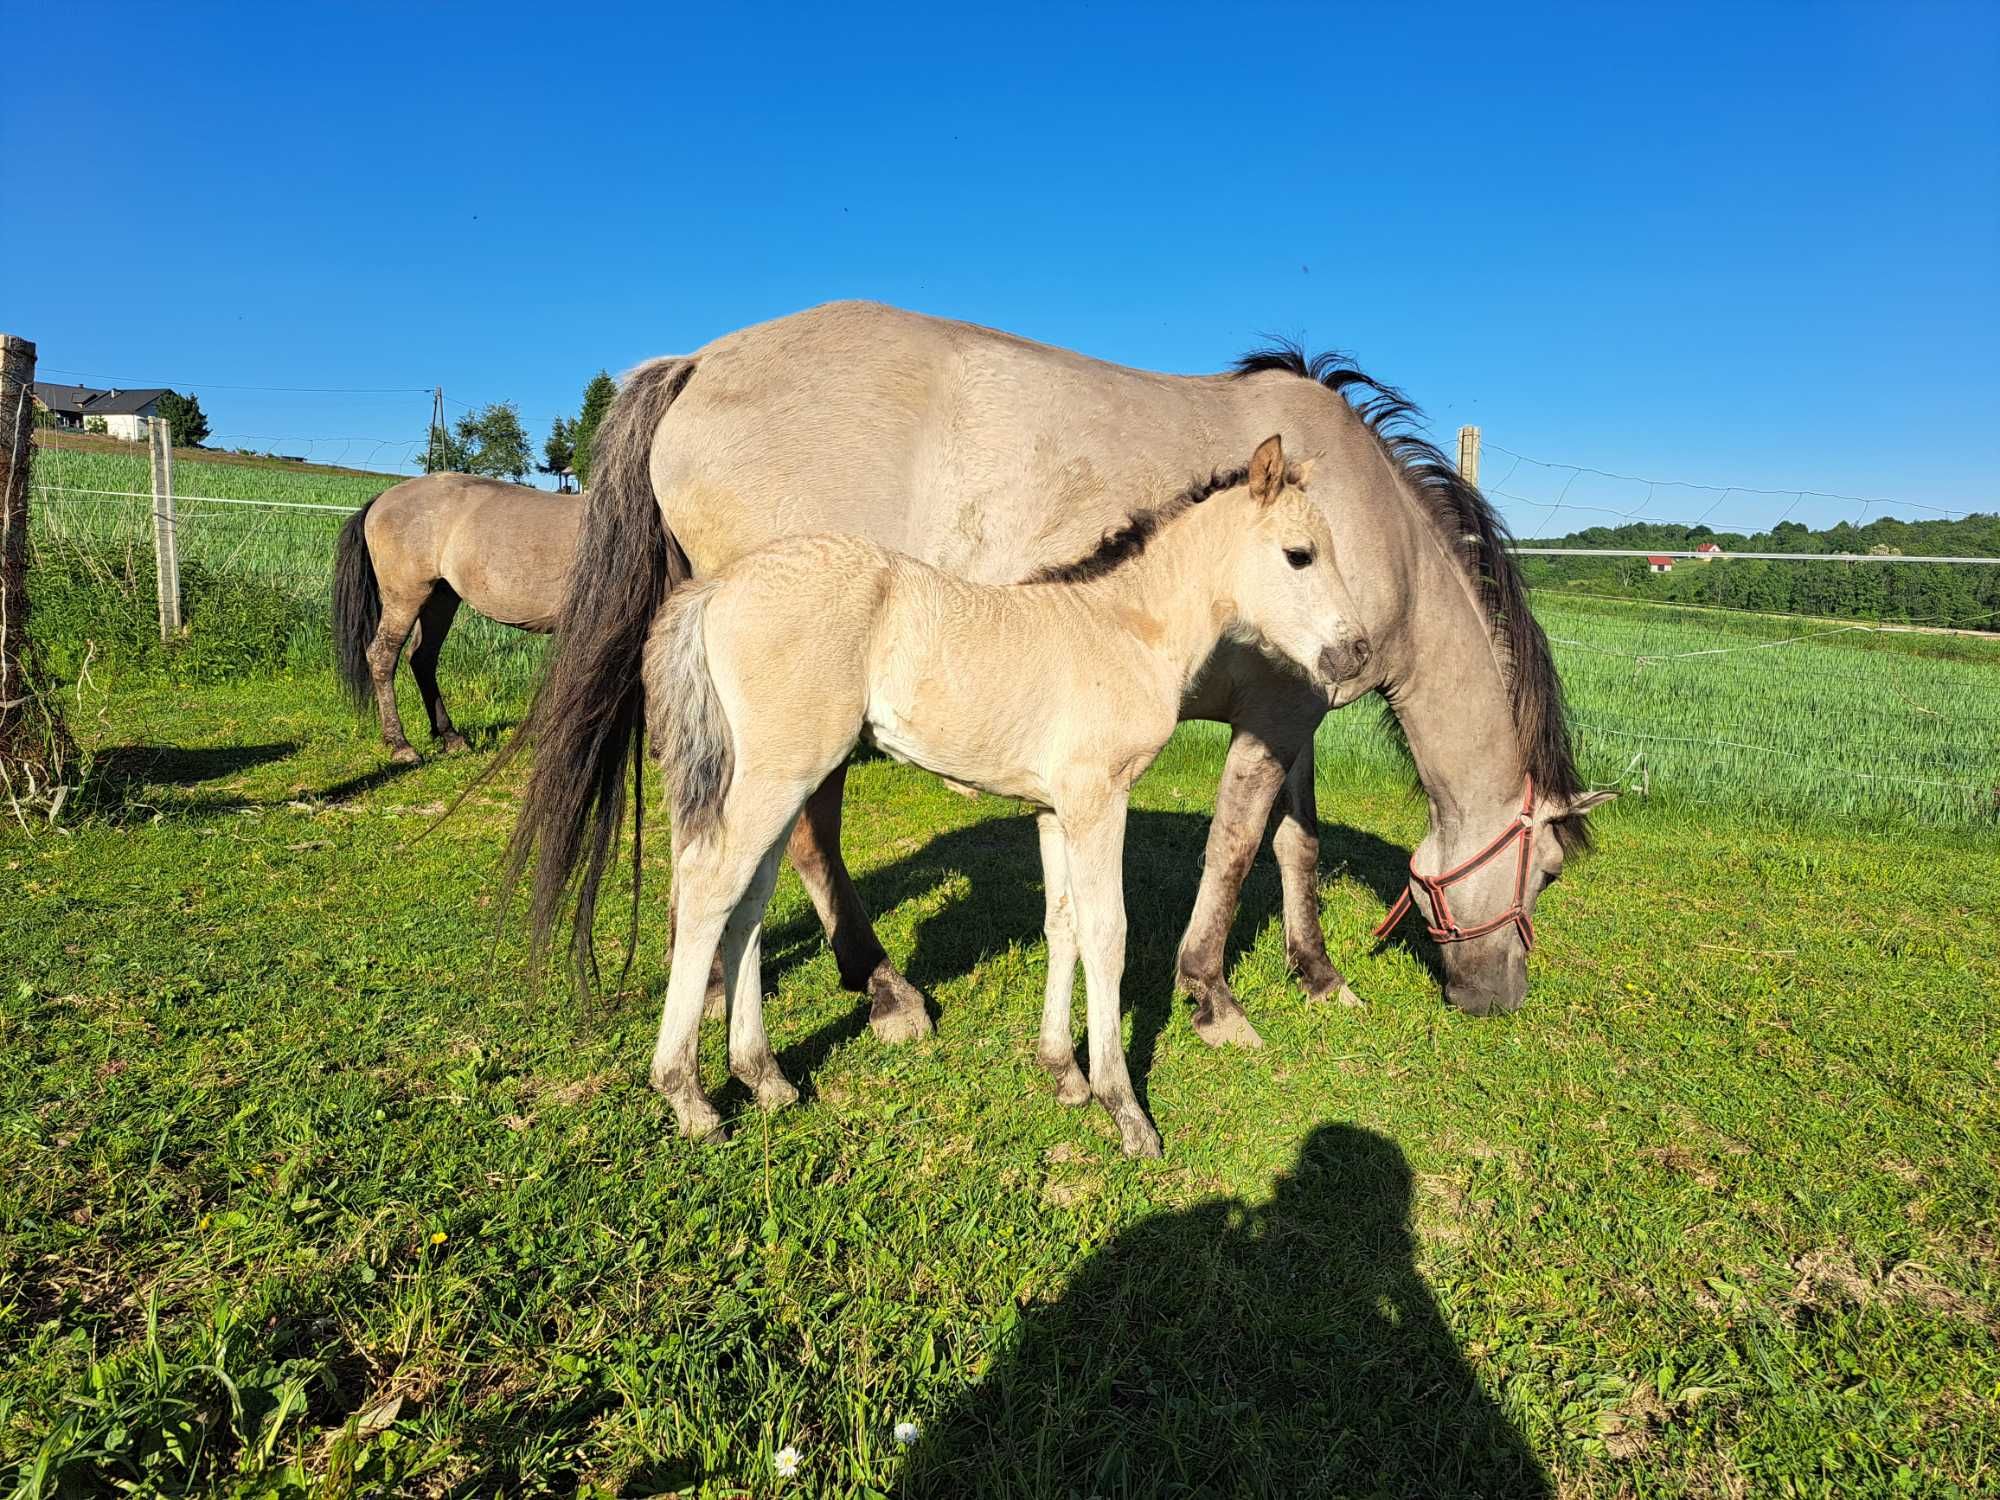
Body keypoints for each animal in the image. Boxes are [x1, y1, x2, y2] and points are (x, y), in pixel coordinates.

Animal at [332, 476, 584, 764]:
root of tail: (381, 499)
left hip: (441, 598)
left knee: (422, 657)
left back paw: (451, 737)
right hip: (405, 598)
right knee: (383, 657)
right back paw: (401, 745)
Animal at [648, 434, 1368, 1160]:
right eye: (1300, 553)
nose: (1355, 653)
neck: (1125, 629)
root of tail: (718, 586)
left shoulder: (1054, 809)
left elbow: (1063, 924)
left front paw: (1064, 1073)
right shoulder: (1098, 798)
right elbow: (1107, 933)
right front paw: (1125, 1109)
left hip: (776, 781)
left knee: (748, 903)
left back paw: (764, 1077)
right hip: (779, 776)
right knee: (710, 886)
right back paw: (688, 1096)